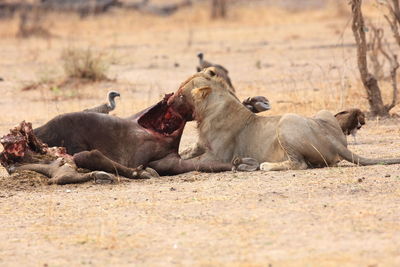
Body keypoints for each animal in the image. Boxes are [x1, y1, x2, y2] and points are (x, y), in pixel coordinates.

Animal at [168, 69, 400, 172]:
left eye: (180, 93)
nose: (168, 99)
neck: (207, 111)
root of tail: (333, 140)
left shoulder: (218, 154)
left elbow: (194, 161)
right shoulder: (200, 145)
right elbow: (186, 152)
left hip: (286, 122)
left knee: (300, 164)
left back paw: (264, 165)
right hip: (323, 113)